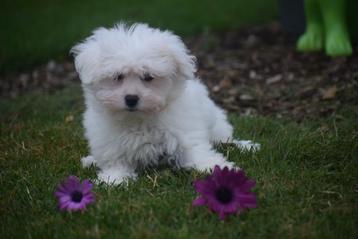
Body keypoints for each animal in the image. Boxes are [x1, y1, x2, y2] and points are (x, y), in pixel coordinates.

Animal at [71, 22, 258, 185]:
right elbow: (115, 163)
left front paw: (218, 168)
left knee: (225, 140)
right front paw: (113, 180)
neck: (139, 119)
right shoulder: (111, 144)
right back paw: (90, 160)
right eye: (117, 76)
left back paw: (246, 146)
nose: (131, 98)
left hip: (218, 127)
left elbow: (197, 152)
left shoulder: (185, 133)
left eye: (148, 77)